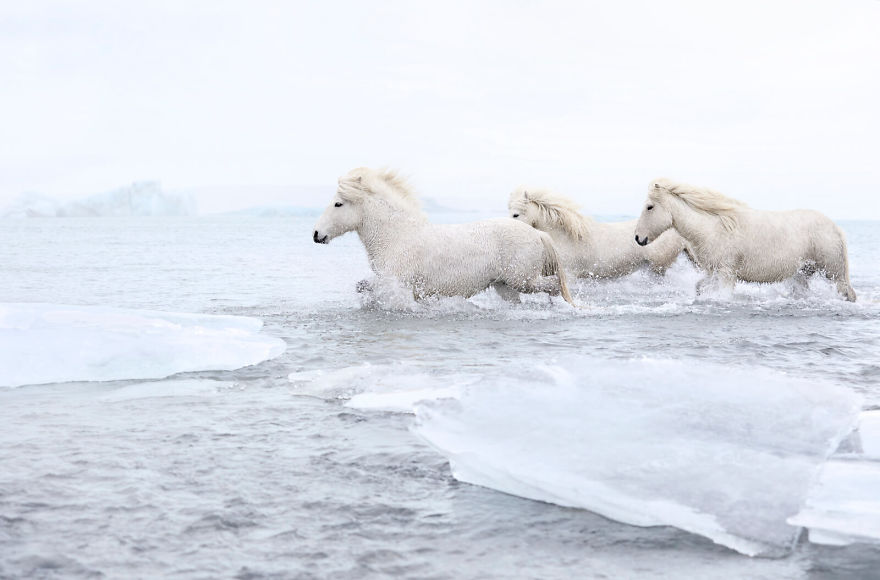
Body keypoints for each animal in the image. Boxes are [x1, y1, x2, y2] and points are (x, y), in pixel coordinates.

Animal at [312, 167, 574, 305]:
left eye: (338, 204)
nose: (317, 234)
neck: (397, 237)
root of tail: (538, 233)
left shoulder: (398, 282)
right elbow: (363, 287)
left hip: (522, 280)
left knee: (553, 285)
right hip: (505, 286)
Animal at [634, 178, 856, 301]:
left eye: (649, 207)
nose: (638, 238)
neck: (712, 228)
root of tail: (836, 228)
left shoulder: (726, 272)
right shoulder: (713, 271)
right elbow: (699, 287)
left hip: (832, 269)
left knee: (847, 291)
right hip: (803, 272)